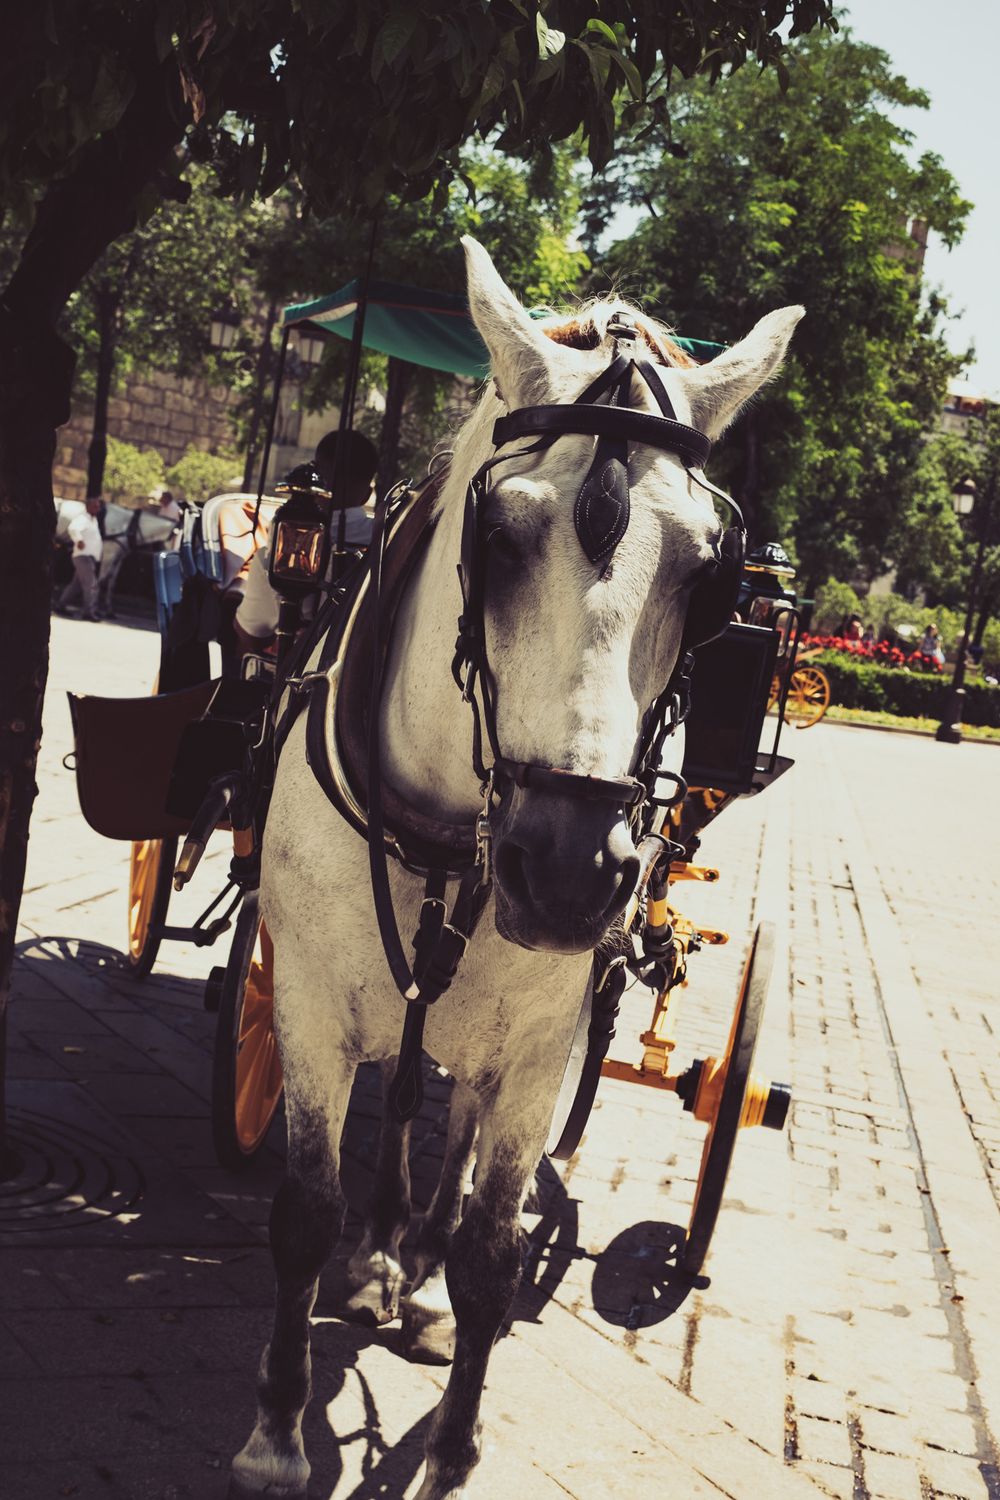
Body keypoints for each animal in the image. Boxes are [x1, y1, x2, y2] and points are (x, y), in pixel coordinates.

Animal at [230, 237, 802, 1500]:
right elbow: (303, 1209)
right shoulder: (308, 999)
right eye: (498, 536)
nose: (567, 871)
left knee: (455, 1130)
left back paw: (417, 1278)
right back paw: (376, 1263)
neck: (460, 834)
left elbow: (494, 1249)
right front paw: (278, 1429)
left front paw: (451, 1441)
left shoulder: (543, 1041)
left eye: (711, 575)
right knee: (402, 1099)